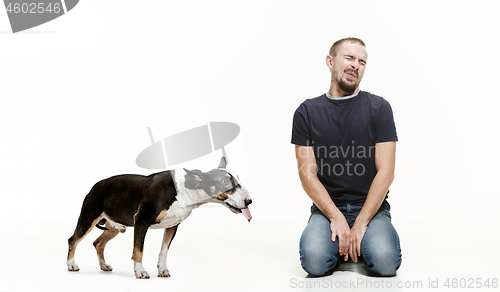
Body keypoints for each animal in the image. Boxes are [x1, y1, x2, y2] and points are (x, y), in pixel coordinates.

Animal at [66, 157, 252, 278]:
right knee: (73, 240)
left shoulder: (172, 226)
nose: (249, 201)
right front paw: (140, 271)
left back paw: (103, 265)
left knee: (98, 242)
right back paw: (72, 265)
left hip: (115, 227)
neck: (185, 189)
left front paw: (162, 270)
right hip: (88, 218)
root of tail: (95, 186)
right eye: (225, 182)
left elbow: (164, 251)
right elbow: (138, 250)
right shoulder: (141, 221)